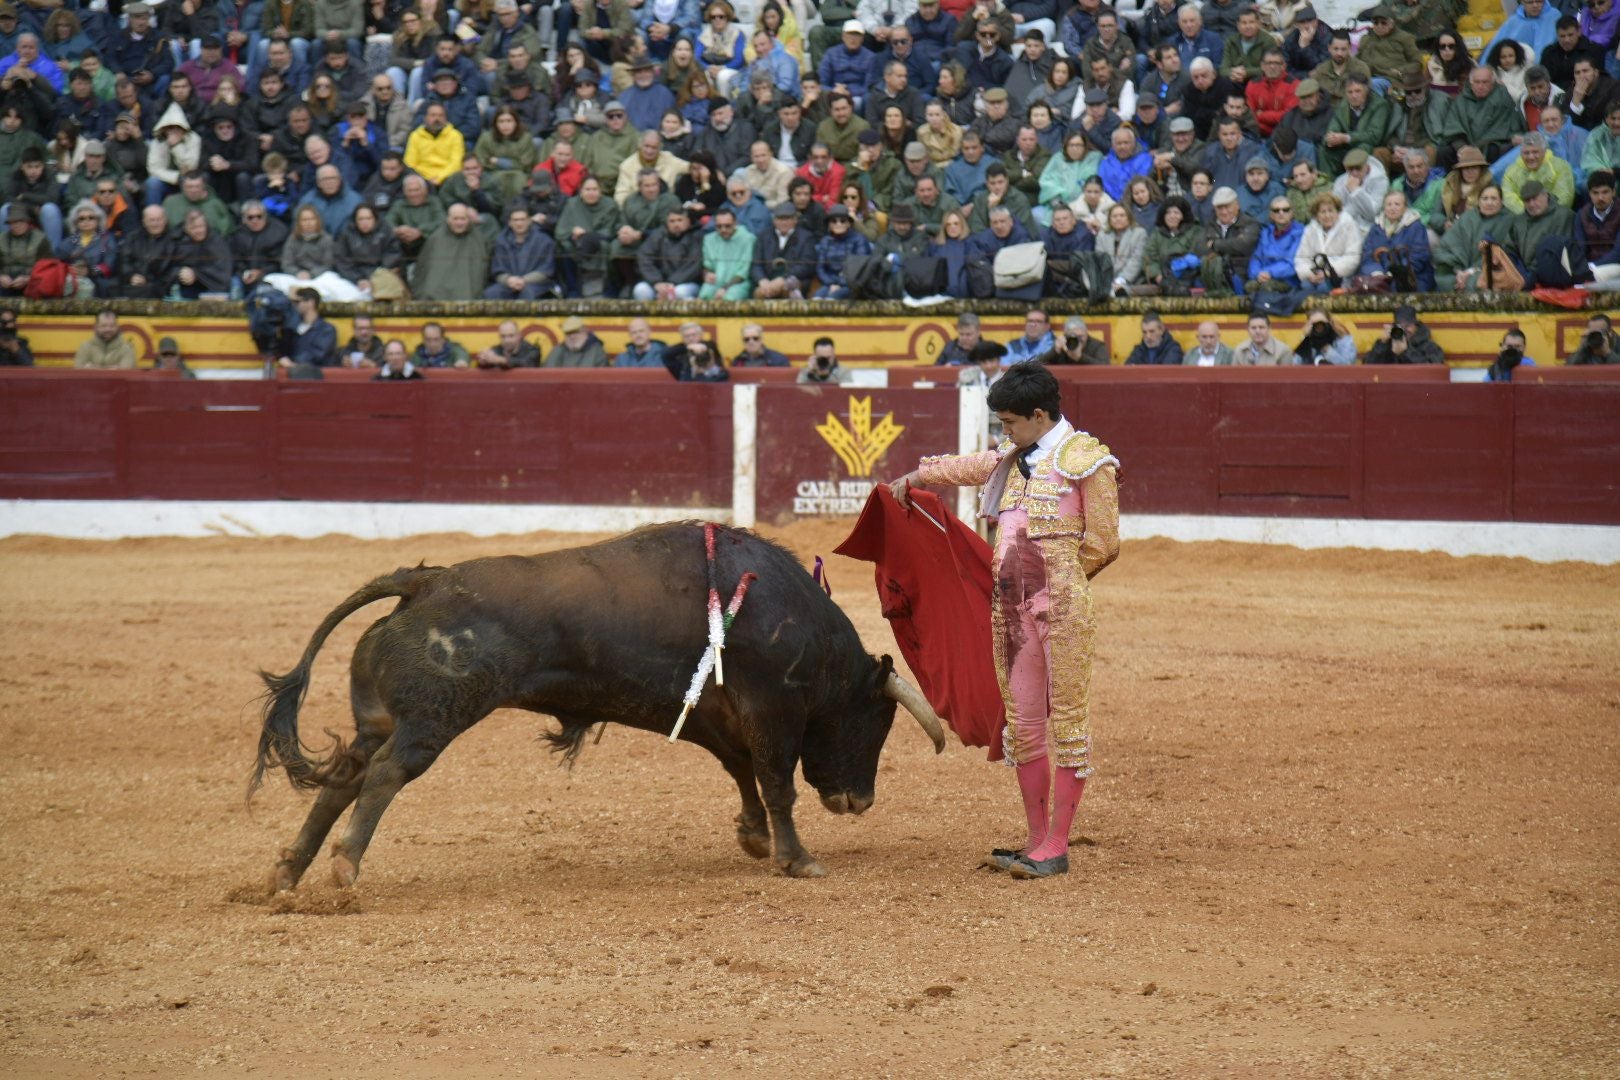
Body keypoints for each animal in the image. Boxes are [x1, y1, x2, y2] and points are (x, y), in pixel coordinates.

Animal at [252, 518, 946, 893]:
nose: (858, 801)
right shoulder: (772, 712)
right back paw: (343, 868)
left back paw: (288, 872)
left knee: (344, 777)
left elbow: (742, 771)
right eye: (875, 722)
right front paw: (797, 860)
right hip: (431, 719)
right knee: (385, 774)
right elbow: (776, 781)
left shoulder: (717, 713)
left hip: (378, 720)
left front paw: (753, 838)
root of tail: (422, 580)